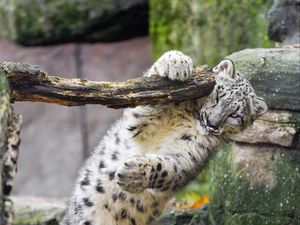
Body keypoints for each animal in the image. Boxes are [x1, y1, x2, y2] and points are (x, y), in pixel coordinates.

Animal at [60, 50, 268, 224]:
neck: (190, 118)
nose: (211, 122)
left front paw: (132, 173)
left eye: (235, 115)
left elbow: (165, 168)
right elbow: (145, 100)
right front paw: (177, 62)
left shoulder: (188, 158)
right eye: (217, 95)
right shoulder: (137, 124)